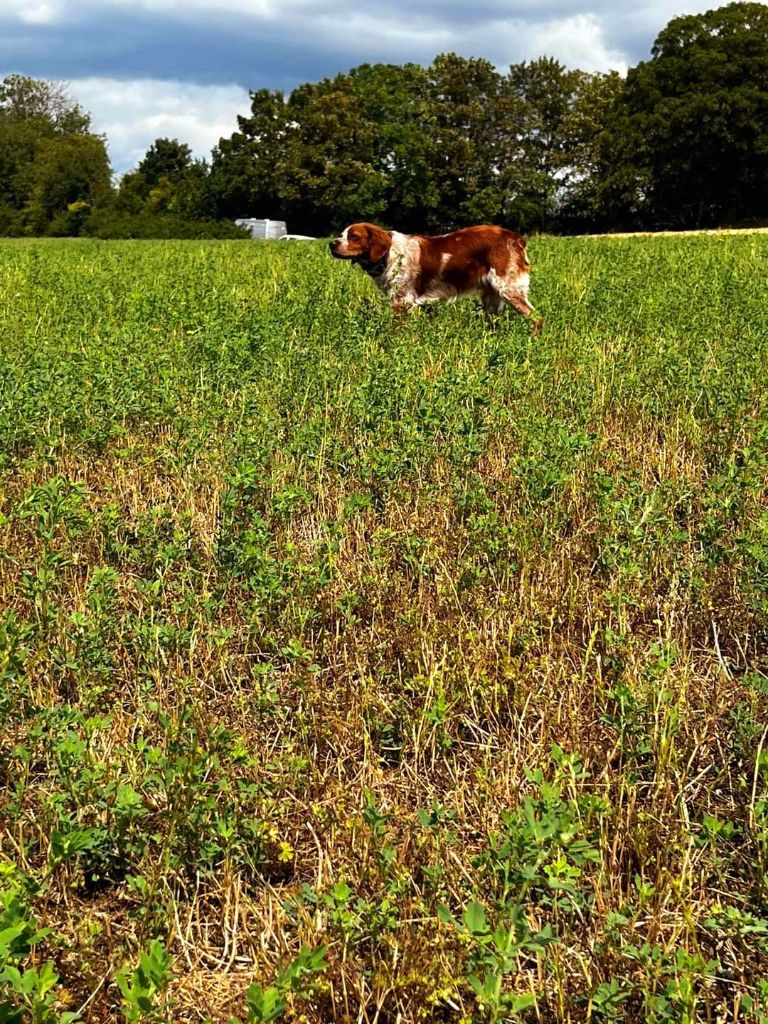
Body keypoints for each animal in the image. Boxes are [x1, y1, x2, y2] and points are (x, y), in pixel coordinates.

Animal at [329, 221, 540, 329]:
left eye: (353, 236)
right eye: (342, 234)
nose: (331, 243)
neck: (388, 255)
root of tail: (515, 237)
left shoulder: (401, 301)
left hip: (508, 289)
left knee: (537, 318)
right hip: (491, 297)